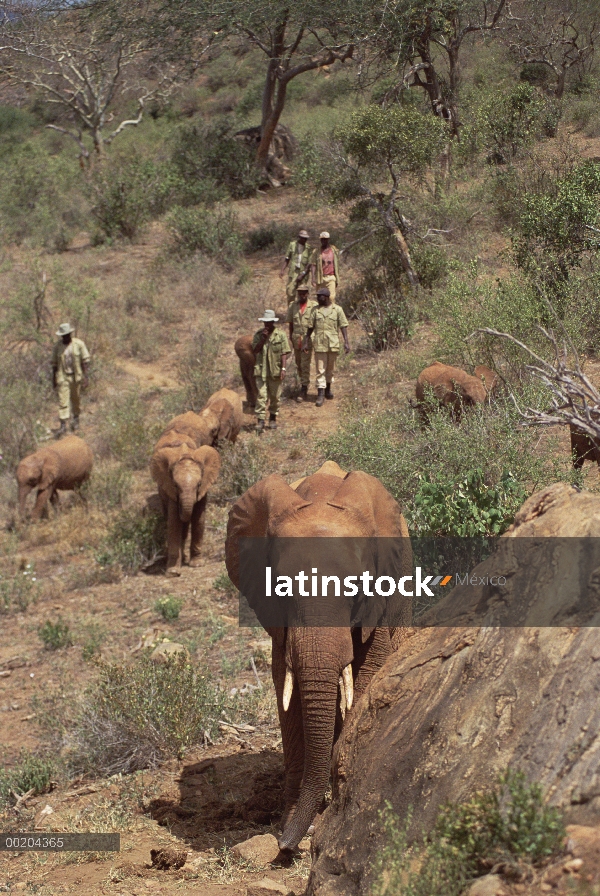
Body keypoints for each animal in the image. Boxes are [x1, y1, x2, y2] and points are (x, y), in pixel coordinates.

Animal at [225, 462, 412, 856]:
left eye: (357, 589)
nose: (285, 846)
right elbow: (286, 686)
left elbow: (369, 668)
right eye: (279, 588)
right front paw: (297, 819)